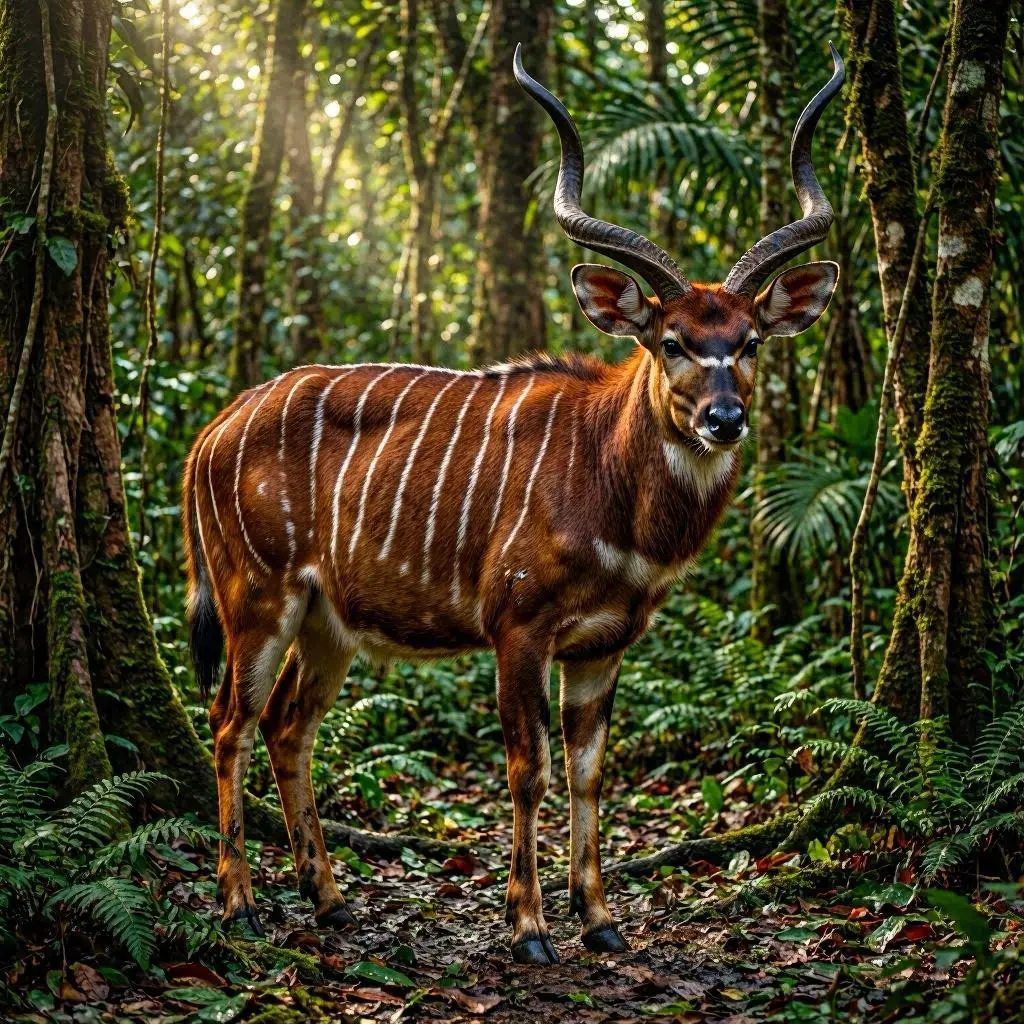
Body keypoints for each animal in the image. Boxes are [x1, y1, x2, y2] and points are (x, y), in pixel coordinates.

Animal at [184, 43, 844, 965]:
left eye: (747, 341)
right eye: (671, 341)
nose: (724, 418)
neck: (609, 485)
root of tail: (210, 432)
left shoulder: (604, 642)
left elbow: (590, 770)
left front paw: (599, 920)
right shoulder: (517, 627)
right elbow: (527, 767)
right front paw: (529, 926)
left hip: (327, 622)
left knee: (287, 725)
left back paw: (331, 902)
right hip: (258, 597)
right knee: (227, 722)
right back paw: (239, 906)